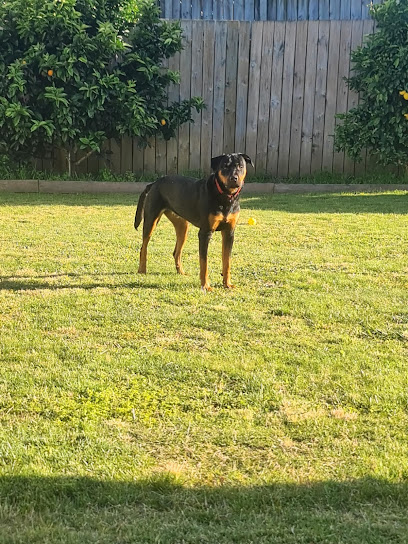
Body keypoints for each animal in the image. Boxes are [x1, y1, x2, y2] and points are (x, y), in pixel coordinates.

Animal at [134, 151, 253, 292]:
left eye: (240, 166)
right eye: (225, 166)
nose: (234, 178)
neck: (225, 197)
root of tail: (154, 183)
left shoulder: (229, 232)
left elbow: (227, 261)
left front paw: (227, 284)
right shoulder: (205, 233)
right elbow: (204, 262)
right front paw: (206, 286)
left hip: (182, 226)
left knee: (176, 252)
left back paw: (181, 272)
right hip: (151, 220)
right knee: (144, 247)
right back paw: (142, 269)